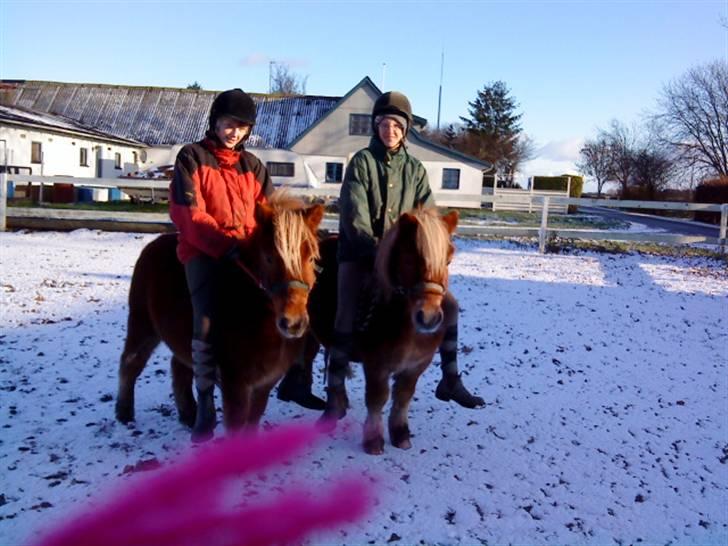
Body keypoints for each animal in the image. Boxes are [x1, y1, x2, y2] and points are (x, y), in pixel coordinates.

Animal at [115, 193, 322, 432]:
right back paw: (124, 413)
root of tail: (152, 246)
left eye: (311, 258)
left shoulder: (263, 386)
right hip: (142, 325)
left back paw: (190, 416)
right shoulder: (235, 386)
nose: (293, 322)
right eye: (269, 258)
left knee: (179, 367)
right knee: (131, 362)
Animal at [308, 206, 458, 452]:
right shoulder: (376, 365)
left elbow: (403, 396)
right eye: (409, 259)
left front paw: (400, 433)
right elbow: (377, 398)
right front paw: (373, 439)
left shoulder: (416, 365)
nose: (428, 317)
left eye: (448, 260)